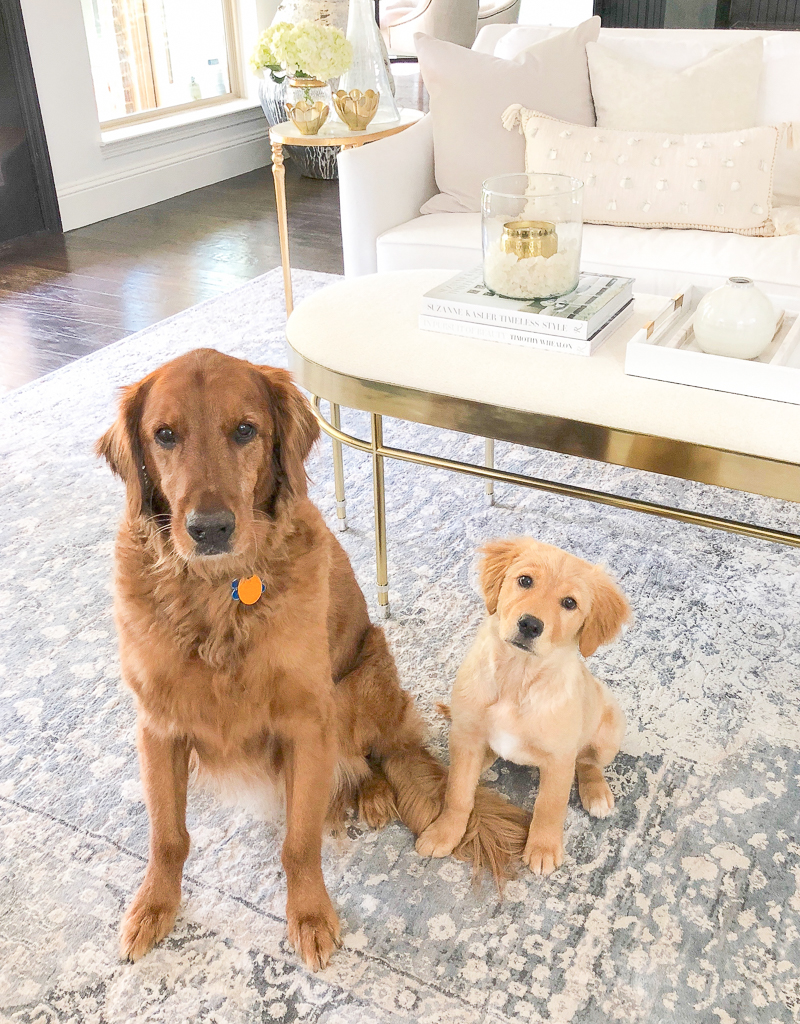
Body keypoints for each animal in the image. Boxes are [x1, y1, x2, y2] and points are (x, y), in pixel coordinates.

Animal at [411, 536, 630, 872]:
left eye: (570, 603)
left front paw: (543, 848)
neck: (517, 676)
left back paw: (596, 792)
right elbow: (458, 793)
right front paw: (444, 832)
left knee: (588, 762)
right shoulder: (467, 735)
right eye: (525, 581)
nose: (530, 625)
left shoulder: (559, 757)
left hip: (609, 730)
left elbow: (550, 806)